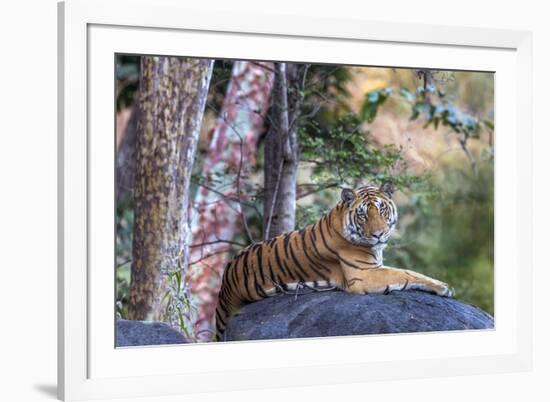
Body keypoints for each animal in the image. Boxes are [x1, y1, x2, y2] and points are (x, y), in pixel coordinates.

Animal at [215, 184, 452, 340]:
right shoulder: (364, 275)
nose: (378, 234)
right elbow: (406, 273)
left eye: (382, 209)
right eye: (363, 215)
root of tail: (224, 283)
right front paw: (444, 287)